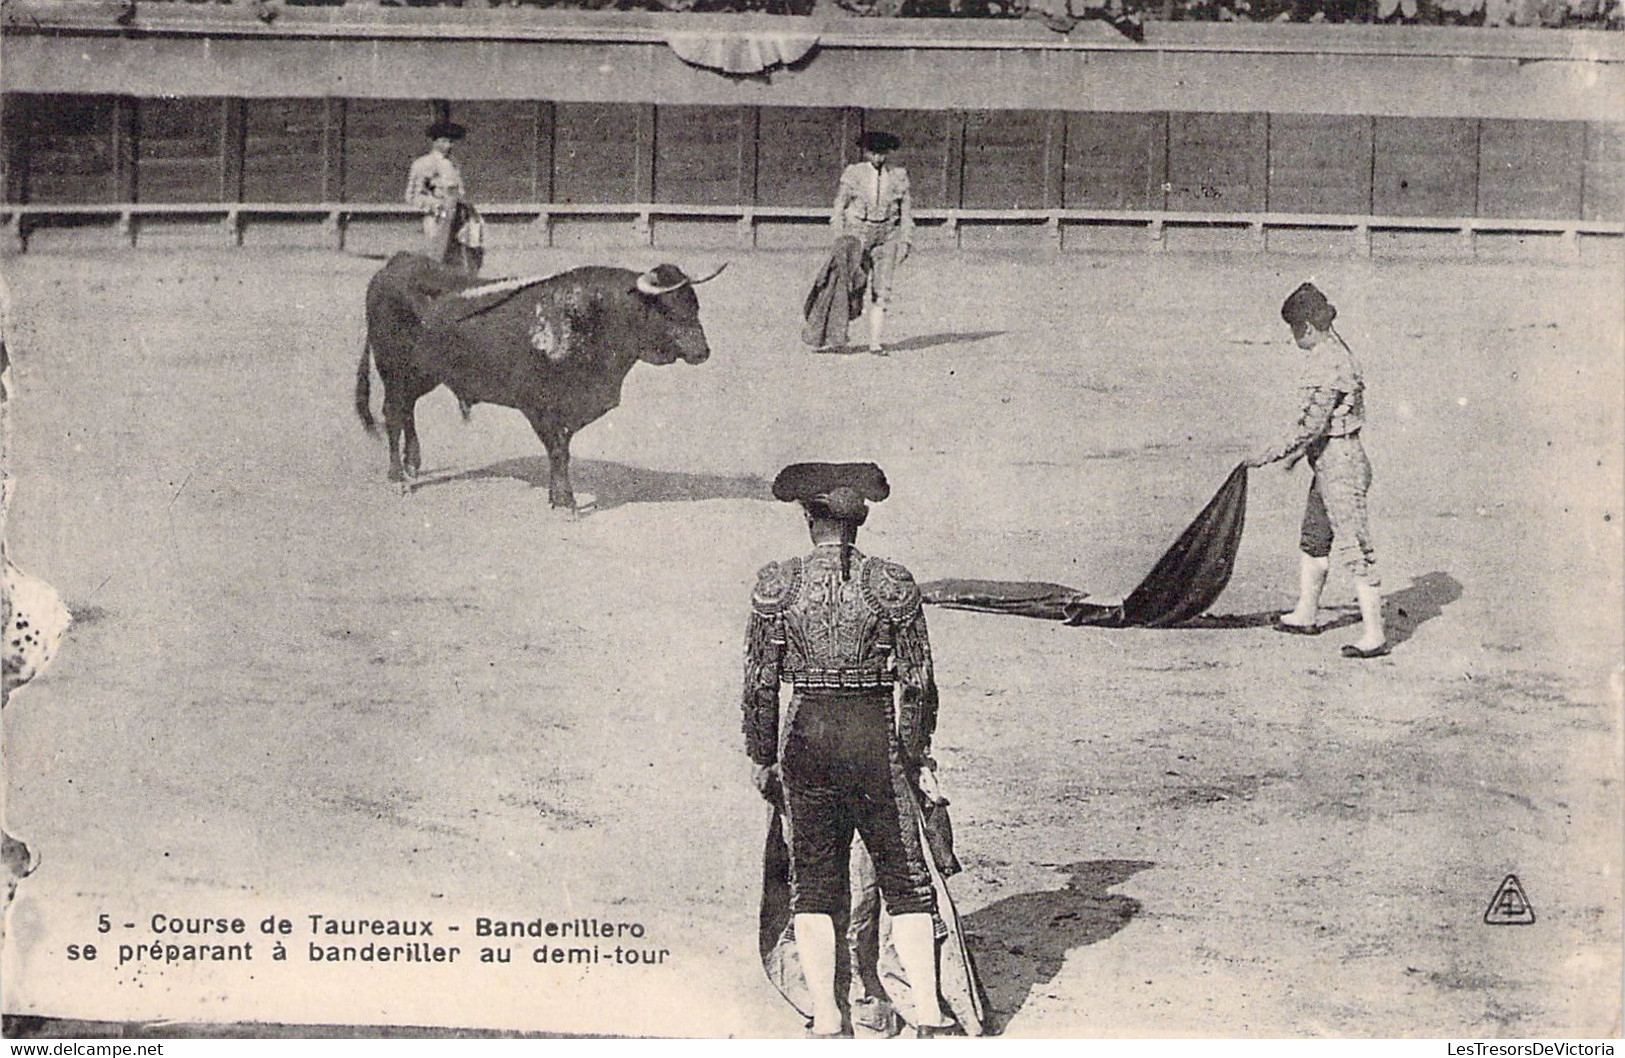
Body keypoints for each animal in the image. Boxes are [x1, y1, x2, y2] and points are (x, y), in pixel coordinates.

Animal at [359, 251, 721, 510]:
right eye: (668, 310)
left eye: (695, 305)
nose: (703, 351)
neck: (593, 317)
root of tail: (396, 263)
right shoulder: (540, 406)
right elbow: (558, 451)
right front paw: (565, 502)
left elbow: (564, 449)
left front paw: (556, 495)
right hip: (394, 370)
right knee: (393, 414)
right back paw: (399, 477)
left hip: (421, 375)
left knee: (406, 412)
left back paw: (411, 468)